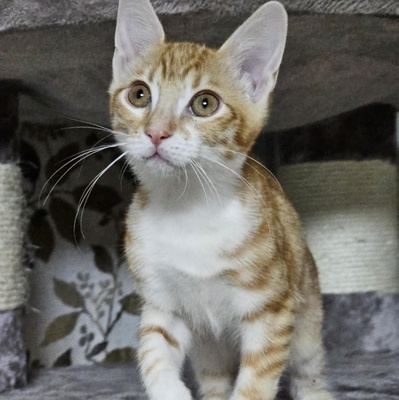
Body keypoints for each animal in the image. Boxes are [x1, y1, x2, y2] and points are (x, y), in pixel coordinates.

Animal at [108, 0, 334, 400]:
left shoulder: (271, 312)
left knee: (310, 368)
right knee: (214, 374)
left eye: (204, 103)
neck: (187, 210)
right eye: (139, 94)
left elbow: (255, 383)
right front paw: (169, 391)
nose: (156, 132)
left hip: (306, 314)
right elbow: (154, 354)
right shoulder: (162, 304)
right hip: (209, 348)